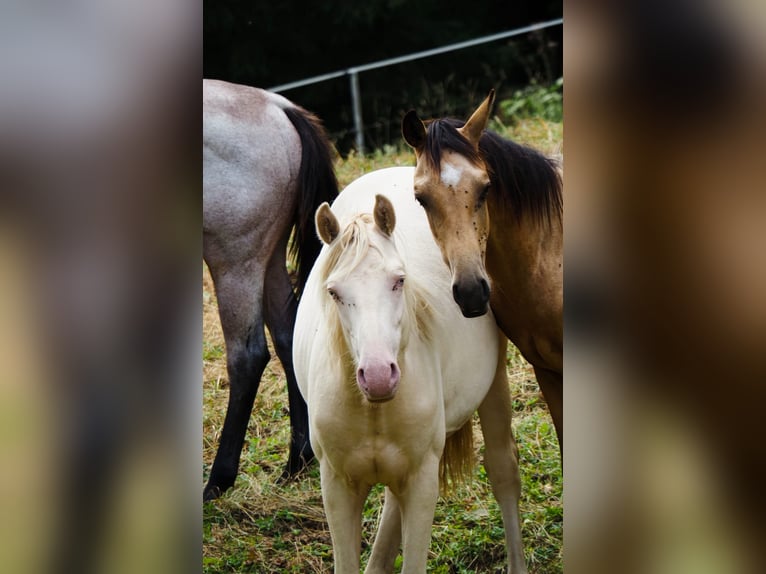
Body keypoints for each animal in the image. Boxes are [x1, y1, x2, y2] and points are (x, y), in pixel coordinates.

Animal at [203, 79, 338, 500]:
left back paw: (218, 480)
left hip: (236, 263)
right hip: (270, 258)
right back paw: (298, 459)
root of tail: (277, 107)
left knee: (247, 357)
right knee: (288, 336)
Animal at [293, 166, 527, 574]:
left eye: (399, 280)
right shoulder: (336, 485)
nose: (377, 377)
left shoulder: (422, 482)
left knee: (503, 472)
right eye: (334, 292)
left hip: (493, 387)